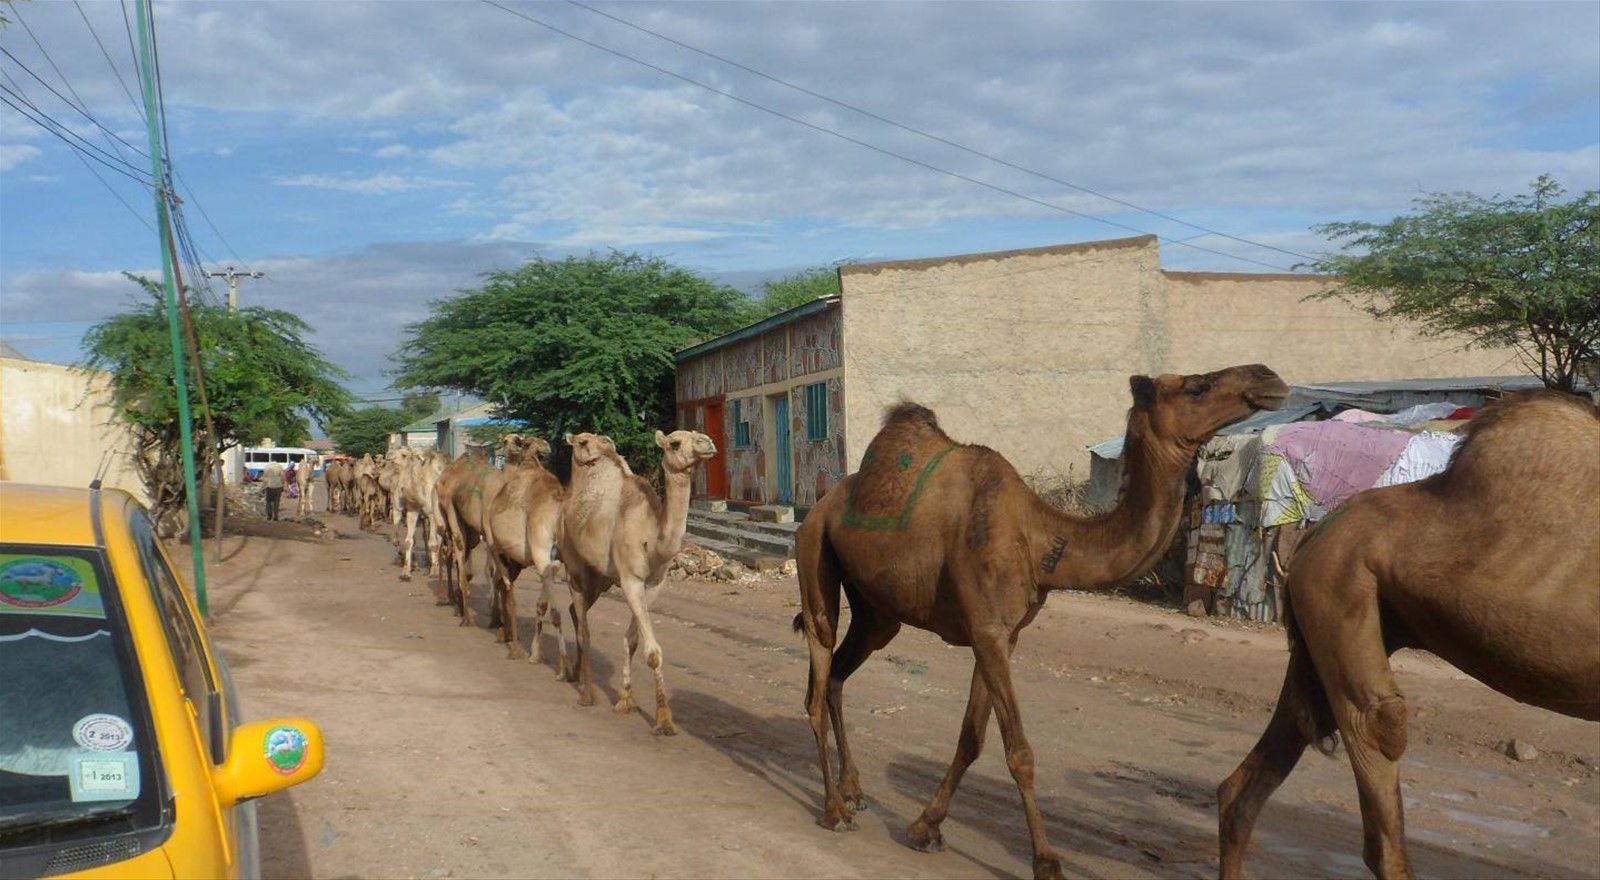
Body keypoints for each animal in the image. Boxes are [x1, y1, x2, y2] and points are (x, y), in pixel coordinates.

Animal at [559, 429, 716, 736]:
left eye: (696, 435)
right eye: (675, 443)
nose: (708, 442)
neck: (652, 540)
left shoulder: (652, 584)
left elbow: (631, 641)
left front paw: (625, 700)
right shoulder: (631, 579)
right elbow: (653, 652)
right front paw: (664, 720)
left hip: (600, 578)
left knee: (575, 612)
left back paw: (577, 675)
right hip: (574, 567)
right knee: (583, 626)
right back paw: (587, 694)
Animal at [792, 364, 1288, 879]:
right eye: (1196, 386)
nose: (1268, 377)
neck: (1042, 541)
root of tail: (820, 506)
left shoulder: (1000, 634)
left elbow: (972, 738)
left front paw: (925, 827)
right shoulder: (988, 630)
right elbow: (1019, 751)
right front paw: (1047, 861)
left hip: (878, 613)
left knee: (837, 677)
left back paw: (853, 790)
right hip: (814, 555)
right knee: (816, 676)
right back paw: (834, 810)